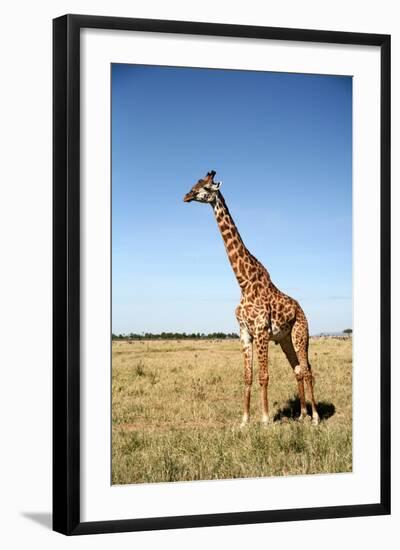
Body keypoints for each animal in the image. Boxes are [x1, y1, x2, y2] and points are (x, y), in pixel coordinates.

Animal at [183, 170, 320, 430]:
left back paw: (316, 417)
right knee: (297, 369)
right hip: (285, 339)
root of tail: (301, 309)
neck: (244, 283)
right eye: (194, 183)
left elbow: (263, 376)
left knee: (307, 370)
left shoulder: (261, 330)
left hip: (301, 334)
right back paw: (302, 415)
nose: (186, 196)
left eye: (205, 187)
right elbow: (247, 376)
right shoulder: (245, 332)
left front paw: (265, 419)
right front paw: (244, 420)